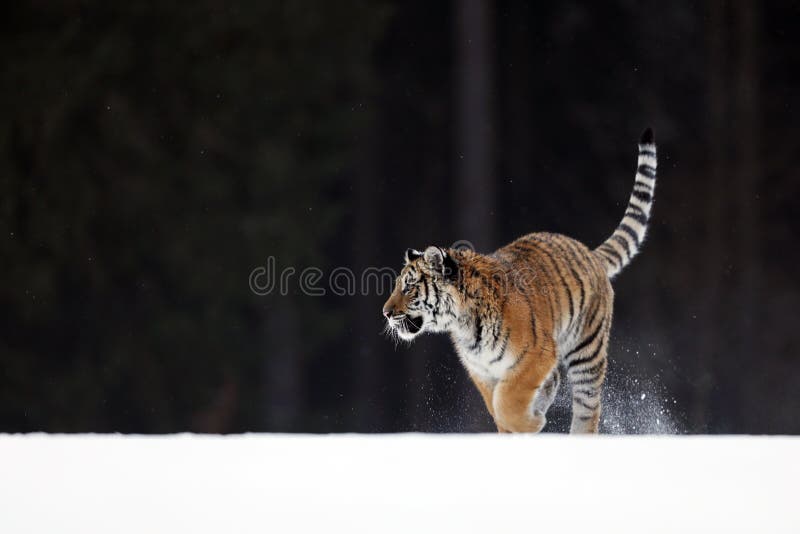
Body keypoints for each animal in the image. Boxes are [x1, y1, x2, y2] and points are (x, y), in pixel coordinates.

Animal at [384, 129, 660, 436]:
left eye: (409, 286)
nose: (386, 313)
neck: (463, 323)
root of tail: (589, 252)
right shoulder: (482, 372)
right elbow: (496, 404)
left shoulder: (534, 355)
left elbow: (507, 401)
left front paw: (530, 424)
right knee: (556, 383)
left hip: (587, 350)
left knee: (588, 407)